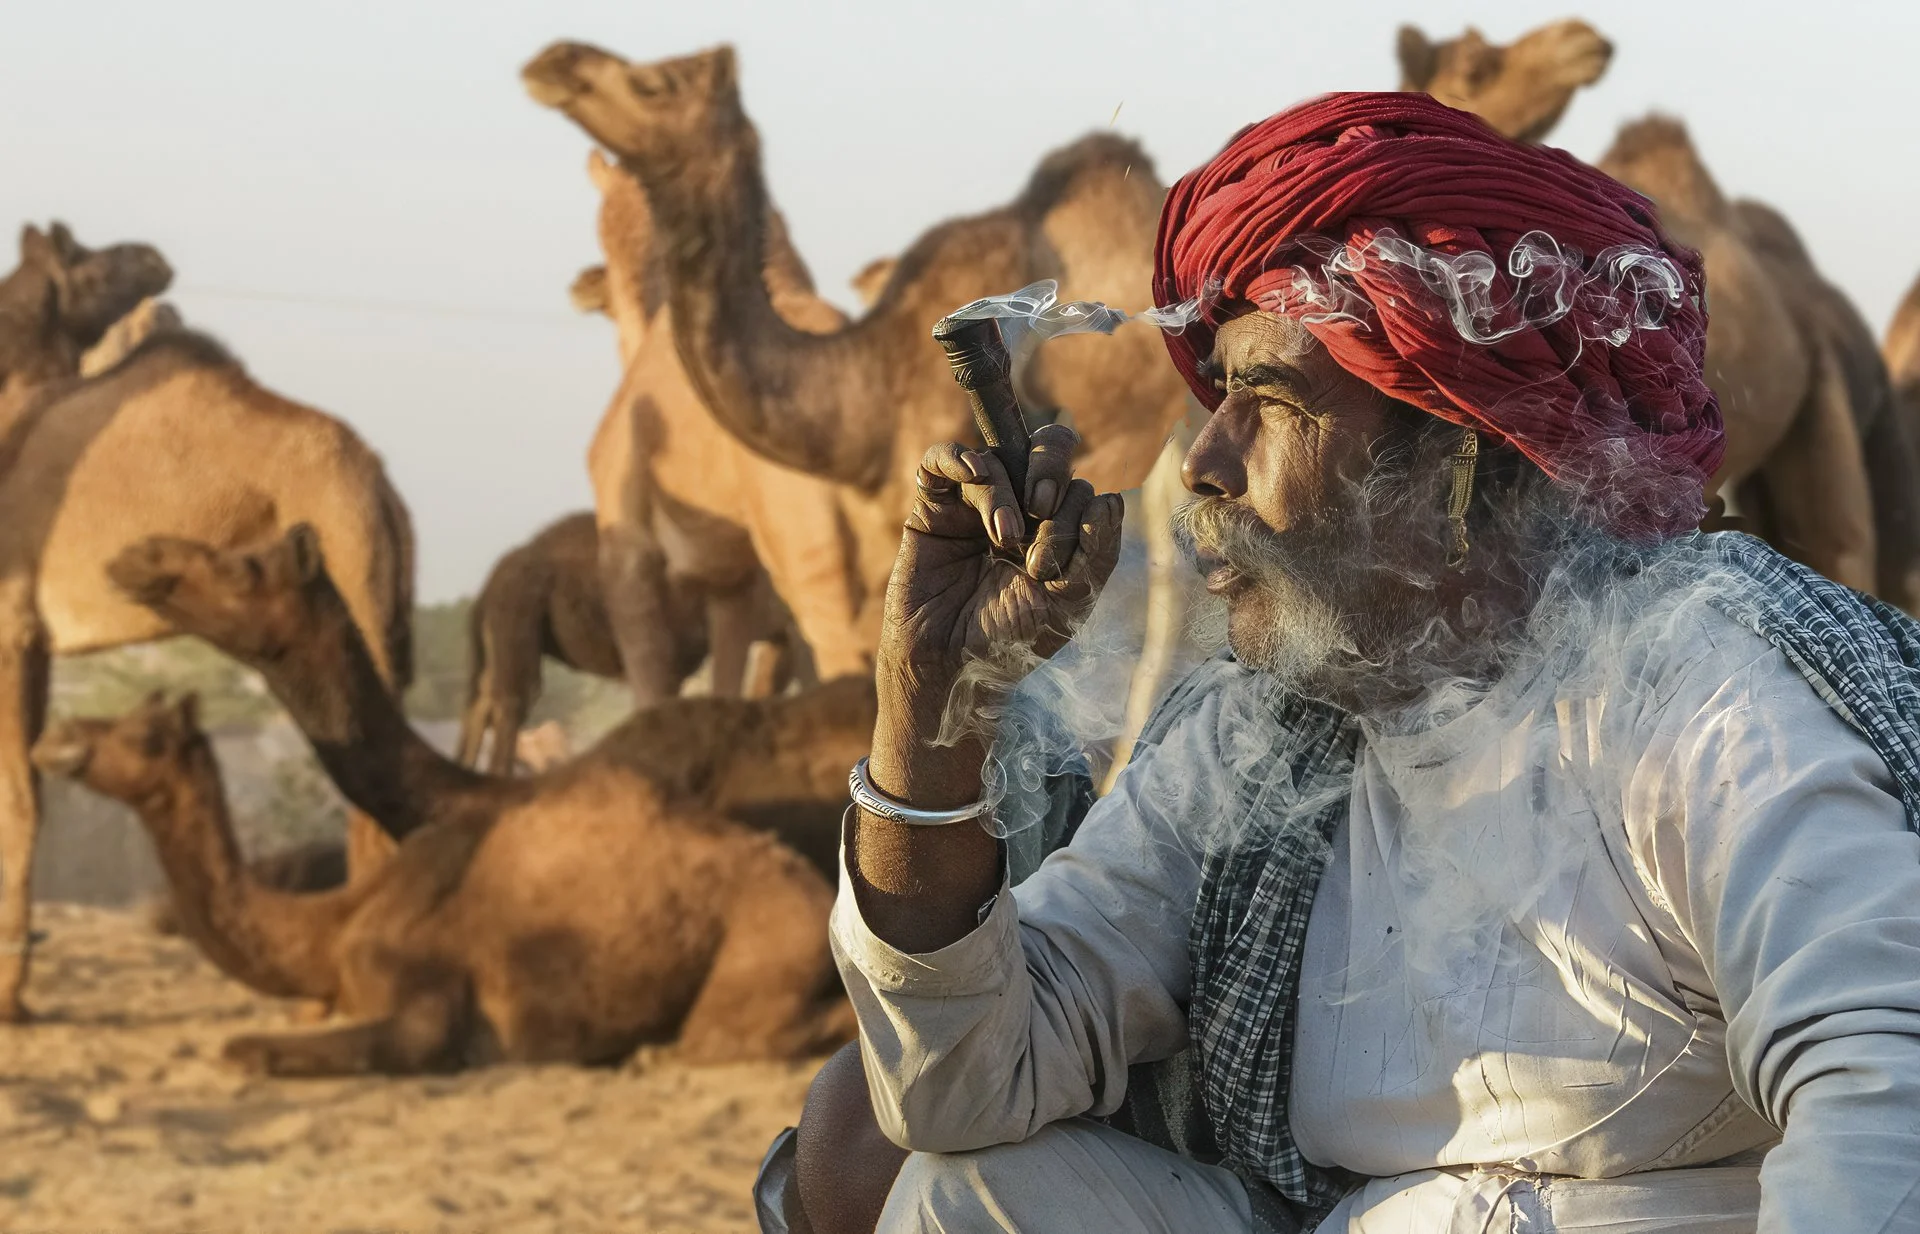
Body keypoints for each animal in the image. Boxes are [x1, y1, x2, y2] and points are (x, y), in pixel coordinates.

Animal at [0, 316, 415, 1022]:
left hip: (348, 571)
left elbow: (17, 797)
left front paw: (9, 1000)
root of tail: (380, 483)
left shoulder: (11, 622)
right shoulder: (37, 642)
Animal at [33, 691, 854, 1075]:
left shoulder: (425, 1004)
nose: (56, 738)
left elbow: (247, 1048)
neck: (335, 923)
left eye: (145, 735)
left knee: (726, 1037)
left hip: (767, 937)